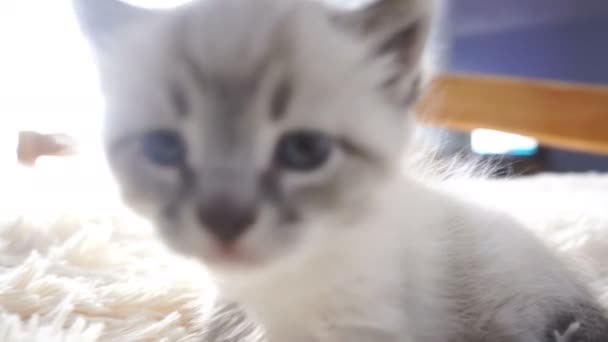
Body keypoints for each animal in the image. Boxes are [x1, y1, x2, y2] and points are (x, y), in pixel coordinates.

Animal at [73, 0, 608, 340]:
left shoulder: (369, 323)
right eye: (163, 147)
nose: (224, 221)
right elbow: (217, 328)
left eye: (304, 151)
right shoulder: (228, 300)